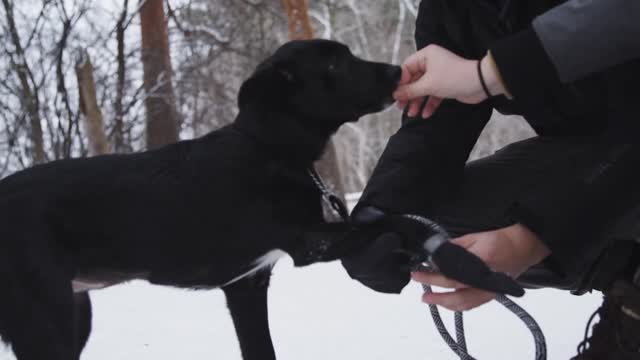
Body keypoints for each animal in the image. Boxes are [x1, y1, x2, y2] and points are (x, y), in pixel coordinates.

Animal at [0, 39, 400, 360]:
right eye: (334, 64)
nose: (397, 70)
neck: (268, 148)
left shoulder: (247, 286)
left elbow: (261, 349)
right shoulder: (307, 240)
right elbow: (389, 222)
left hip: (73, 312)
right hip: (44, 318)